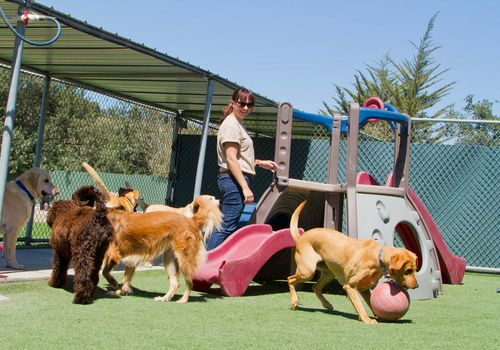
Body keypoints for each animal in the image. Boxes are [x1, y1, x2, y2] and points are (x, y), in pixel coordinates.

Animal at [288, 201, 420, 324]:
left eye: (414, 269)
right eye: (408, 270)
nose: (417, 286)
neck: (378, 257)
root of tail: (301, 237)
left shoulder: (365, 289)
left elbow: (371, 304)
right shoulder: (350, 287)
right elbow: (360, 306)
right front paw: (367, 319)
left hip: (329, 273)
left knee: (315, 286)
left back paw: (326, 304)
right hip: (308, 271)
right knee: (290, 279)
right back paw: (294, 301)